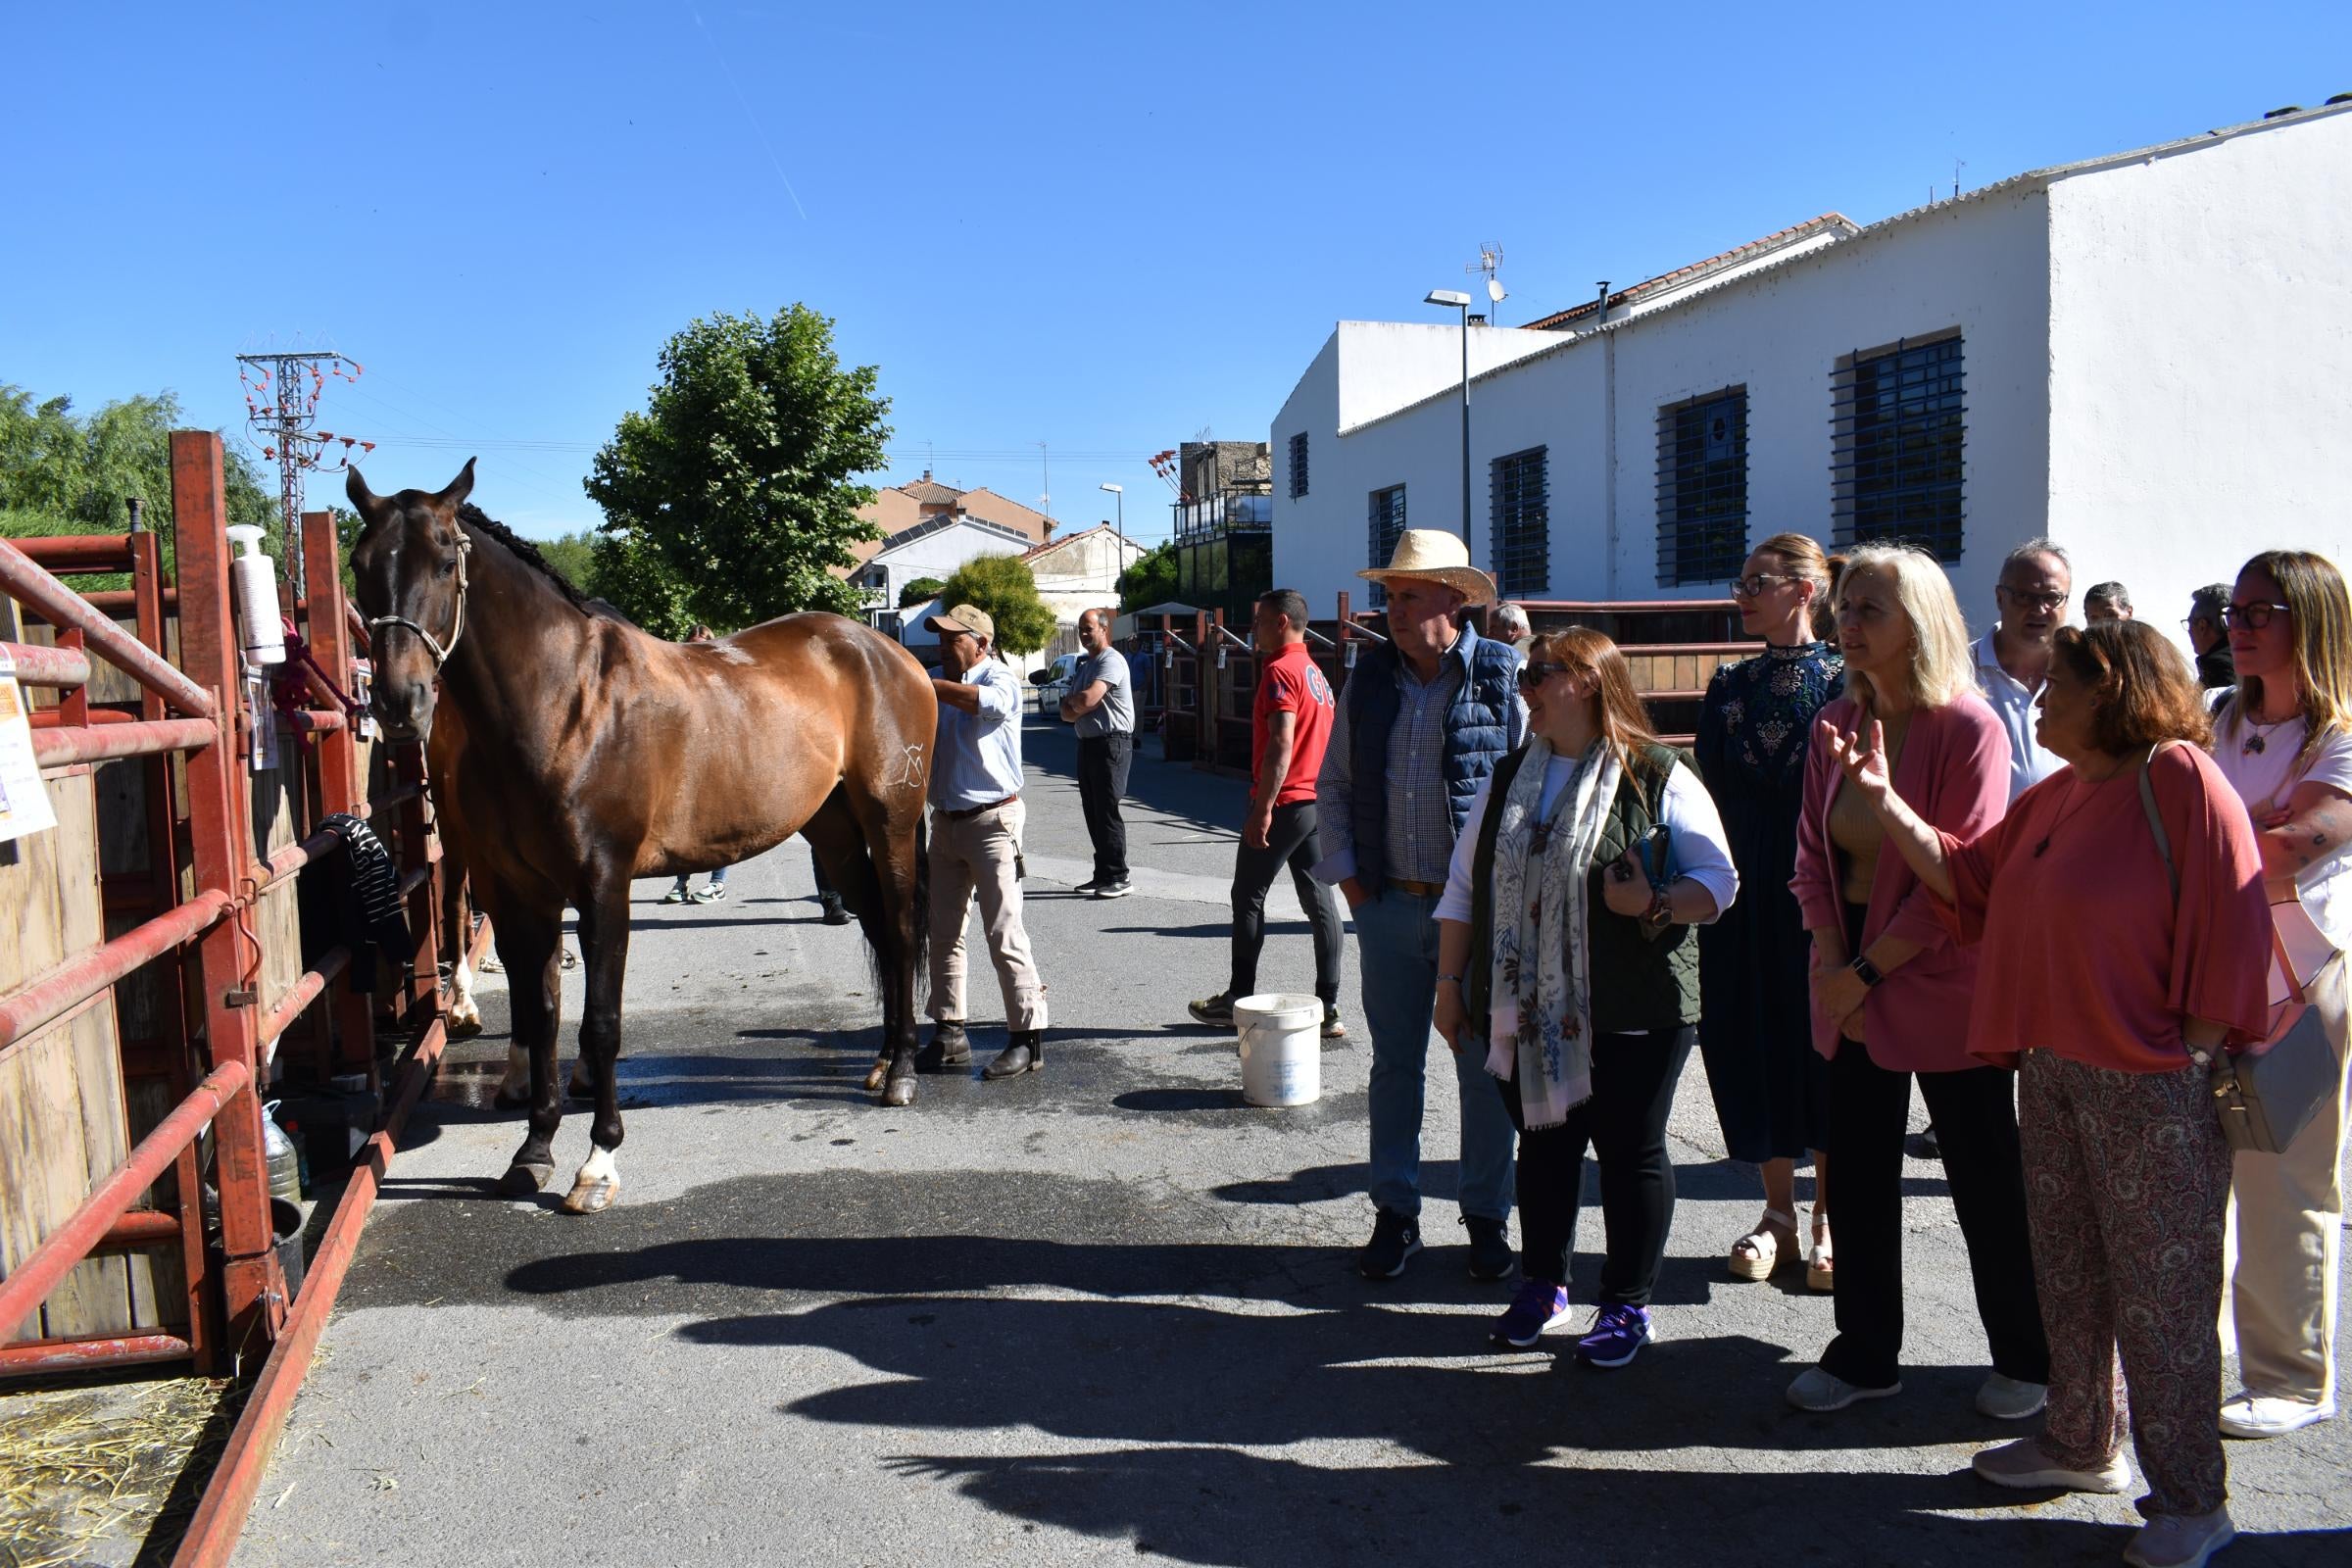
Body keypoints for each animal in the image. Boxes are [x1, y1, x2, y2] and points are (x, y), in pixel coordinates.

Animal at [348, 456, 936, 1212]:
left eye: (447, 561)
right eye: (361, 563)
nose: (400, 701)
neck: (564, 705)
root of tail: (884, 650)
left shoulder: (603, 885)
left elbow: (601, 1021)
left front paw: (597, 1162)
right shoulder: (519, 893)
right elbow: (542, 1012)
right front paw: (533, 1150)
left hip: (890, 823)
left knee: (901, 931)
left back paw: (904, 1075)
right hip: (832, 833)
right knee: (880, 934)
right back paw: (884, 1062)